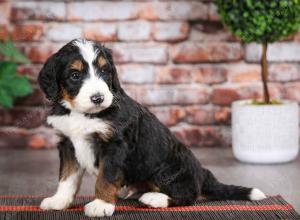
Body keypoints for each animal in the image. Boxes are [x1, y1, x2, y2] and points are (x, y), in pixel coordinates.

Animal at [37, 39, 264, 217]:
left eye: (104, 71)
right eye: (75, 75)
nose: (98, 98)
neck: (83, 113)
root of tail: (202, 172)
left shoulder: (115, 146)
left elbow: (106, 177)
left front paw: (101, 204)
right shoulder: (68, 143)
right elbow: (67, 177)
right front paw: (59, 201)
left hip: (168, 170)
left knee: (188, 195)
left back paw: (154, 198)